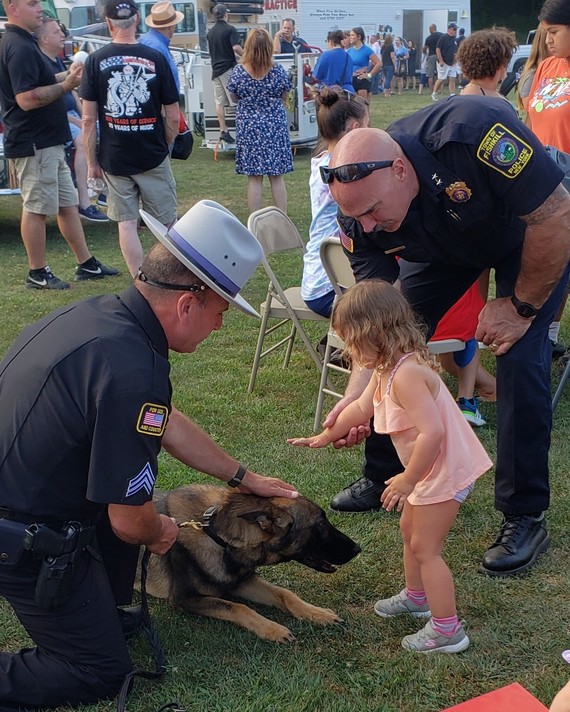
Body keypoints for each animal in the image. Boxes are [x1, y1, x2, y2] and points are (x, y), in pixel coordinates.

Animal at [138, 486, 360, 644]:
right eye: (320, 525)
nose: (358, 548)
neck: (218, 536)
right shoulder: (185, 598)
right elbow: (238, 607)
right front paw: (272, 629)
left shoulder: (243, 582)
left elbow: (284, 593)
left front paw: (316, 612)